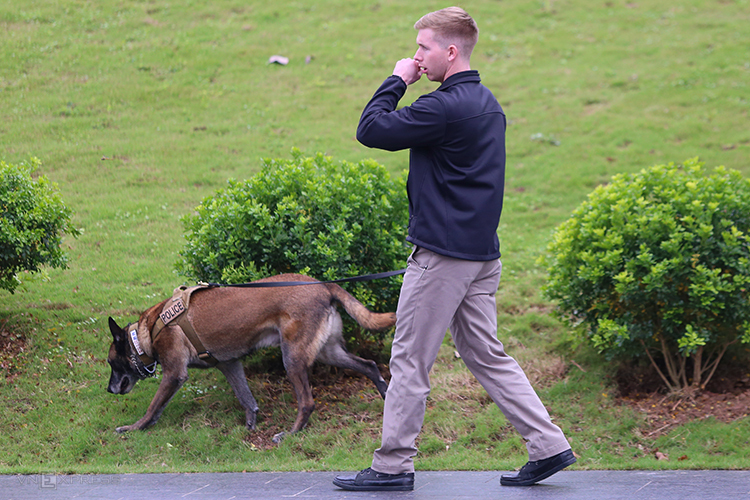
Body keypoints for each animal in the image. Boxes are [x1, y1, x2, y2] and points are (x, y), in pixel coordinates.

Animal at [108, 276, 396, 444]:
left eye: (112, 363)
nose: (109, 389)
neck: (146, 332)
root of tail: (322, 284)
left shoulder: (174, 374)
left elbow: (153, 407)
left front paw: (135, 428)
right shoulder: (229, 364)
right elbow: (247, 399)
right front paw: (250, 426)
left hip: (292, 357)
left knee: (307, 402)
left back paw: (291, 434)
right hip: (330, 351)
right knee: (370, 365)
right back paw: (385, 393)